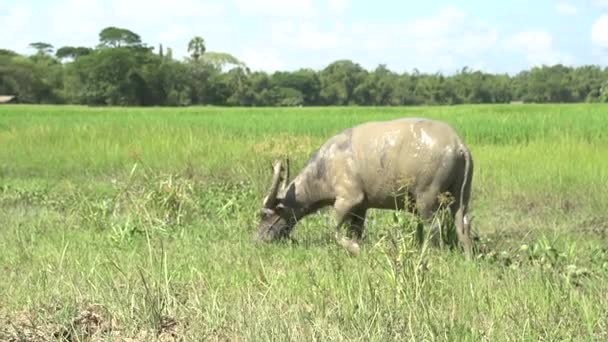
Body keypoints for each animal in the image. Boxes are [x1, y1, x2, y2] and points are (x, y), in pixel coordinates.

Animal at [256, 117, 476, 256]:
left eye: (264, 215)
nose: (257, 239)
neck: (323, 170)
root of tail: (458, 145)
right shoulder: (361, 208)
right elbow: (355, 231)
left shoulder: (348, 199)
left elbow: (334, 229)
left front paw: (355, 249)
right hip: (461, 196)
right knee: (462, 225)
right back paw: (467, 258)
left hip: (427, 198)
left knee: (434, 227)